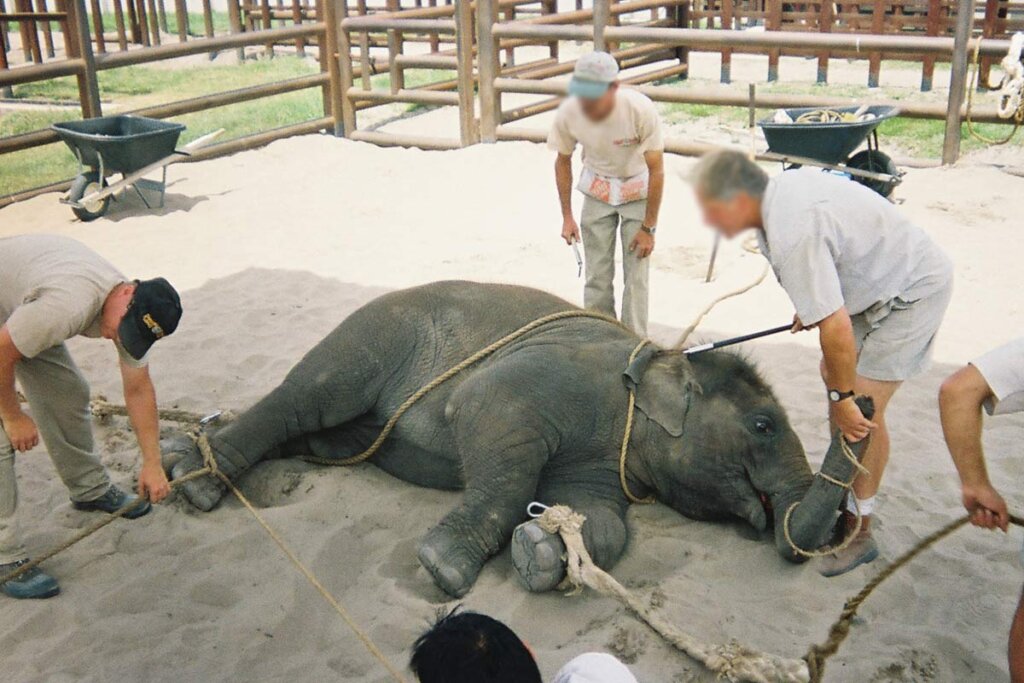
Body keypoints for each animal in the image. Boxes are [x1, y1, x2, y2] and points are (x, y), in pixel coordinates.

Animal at [172, 280, 868, 593]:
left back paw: (186, 453)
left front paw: (540, 551)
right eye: (763, 425)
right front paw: (445, 569)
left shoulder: (608, 461)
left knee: (312, 437)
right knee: (304, 398)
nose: (859, 400)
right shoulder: (552, 381)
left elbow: (603, 521)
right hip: (373, 334)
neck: (656, 358)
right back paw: (195, 482)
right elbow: (494, 426)